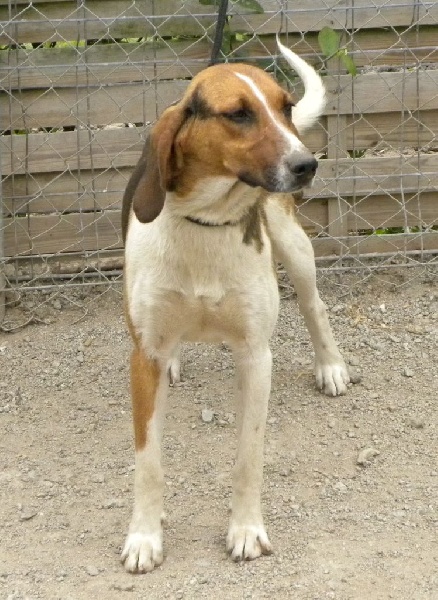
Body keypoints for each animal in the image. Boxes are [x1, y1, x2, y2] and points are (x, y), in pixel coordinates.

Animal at [120, 39, 350, 573]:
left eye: (285, 107)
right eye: (239, 114)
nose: (307, 164)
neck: (207, 221)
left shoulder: (255, 355)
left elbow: (248, 457)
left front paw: (245, 530)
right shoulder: (143, 357)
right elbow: (149, 463)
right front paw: (144, 536)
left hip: (294, 249)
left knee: (315, 307)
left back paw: (330, 366)